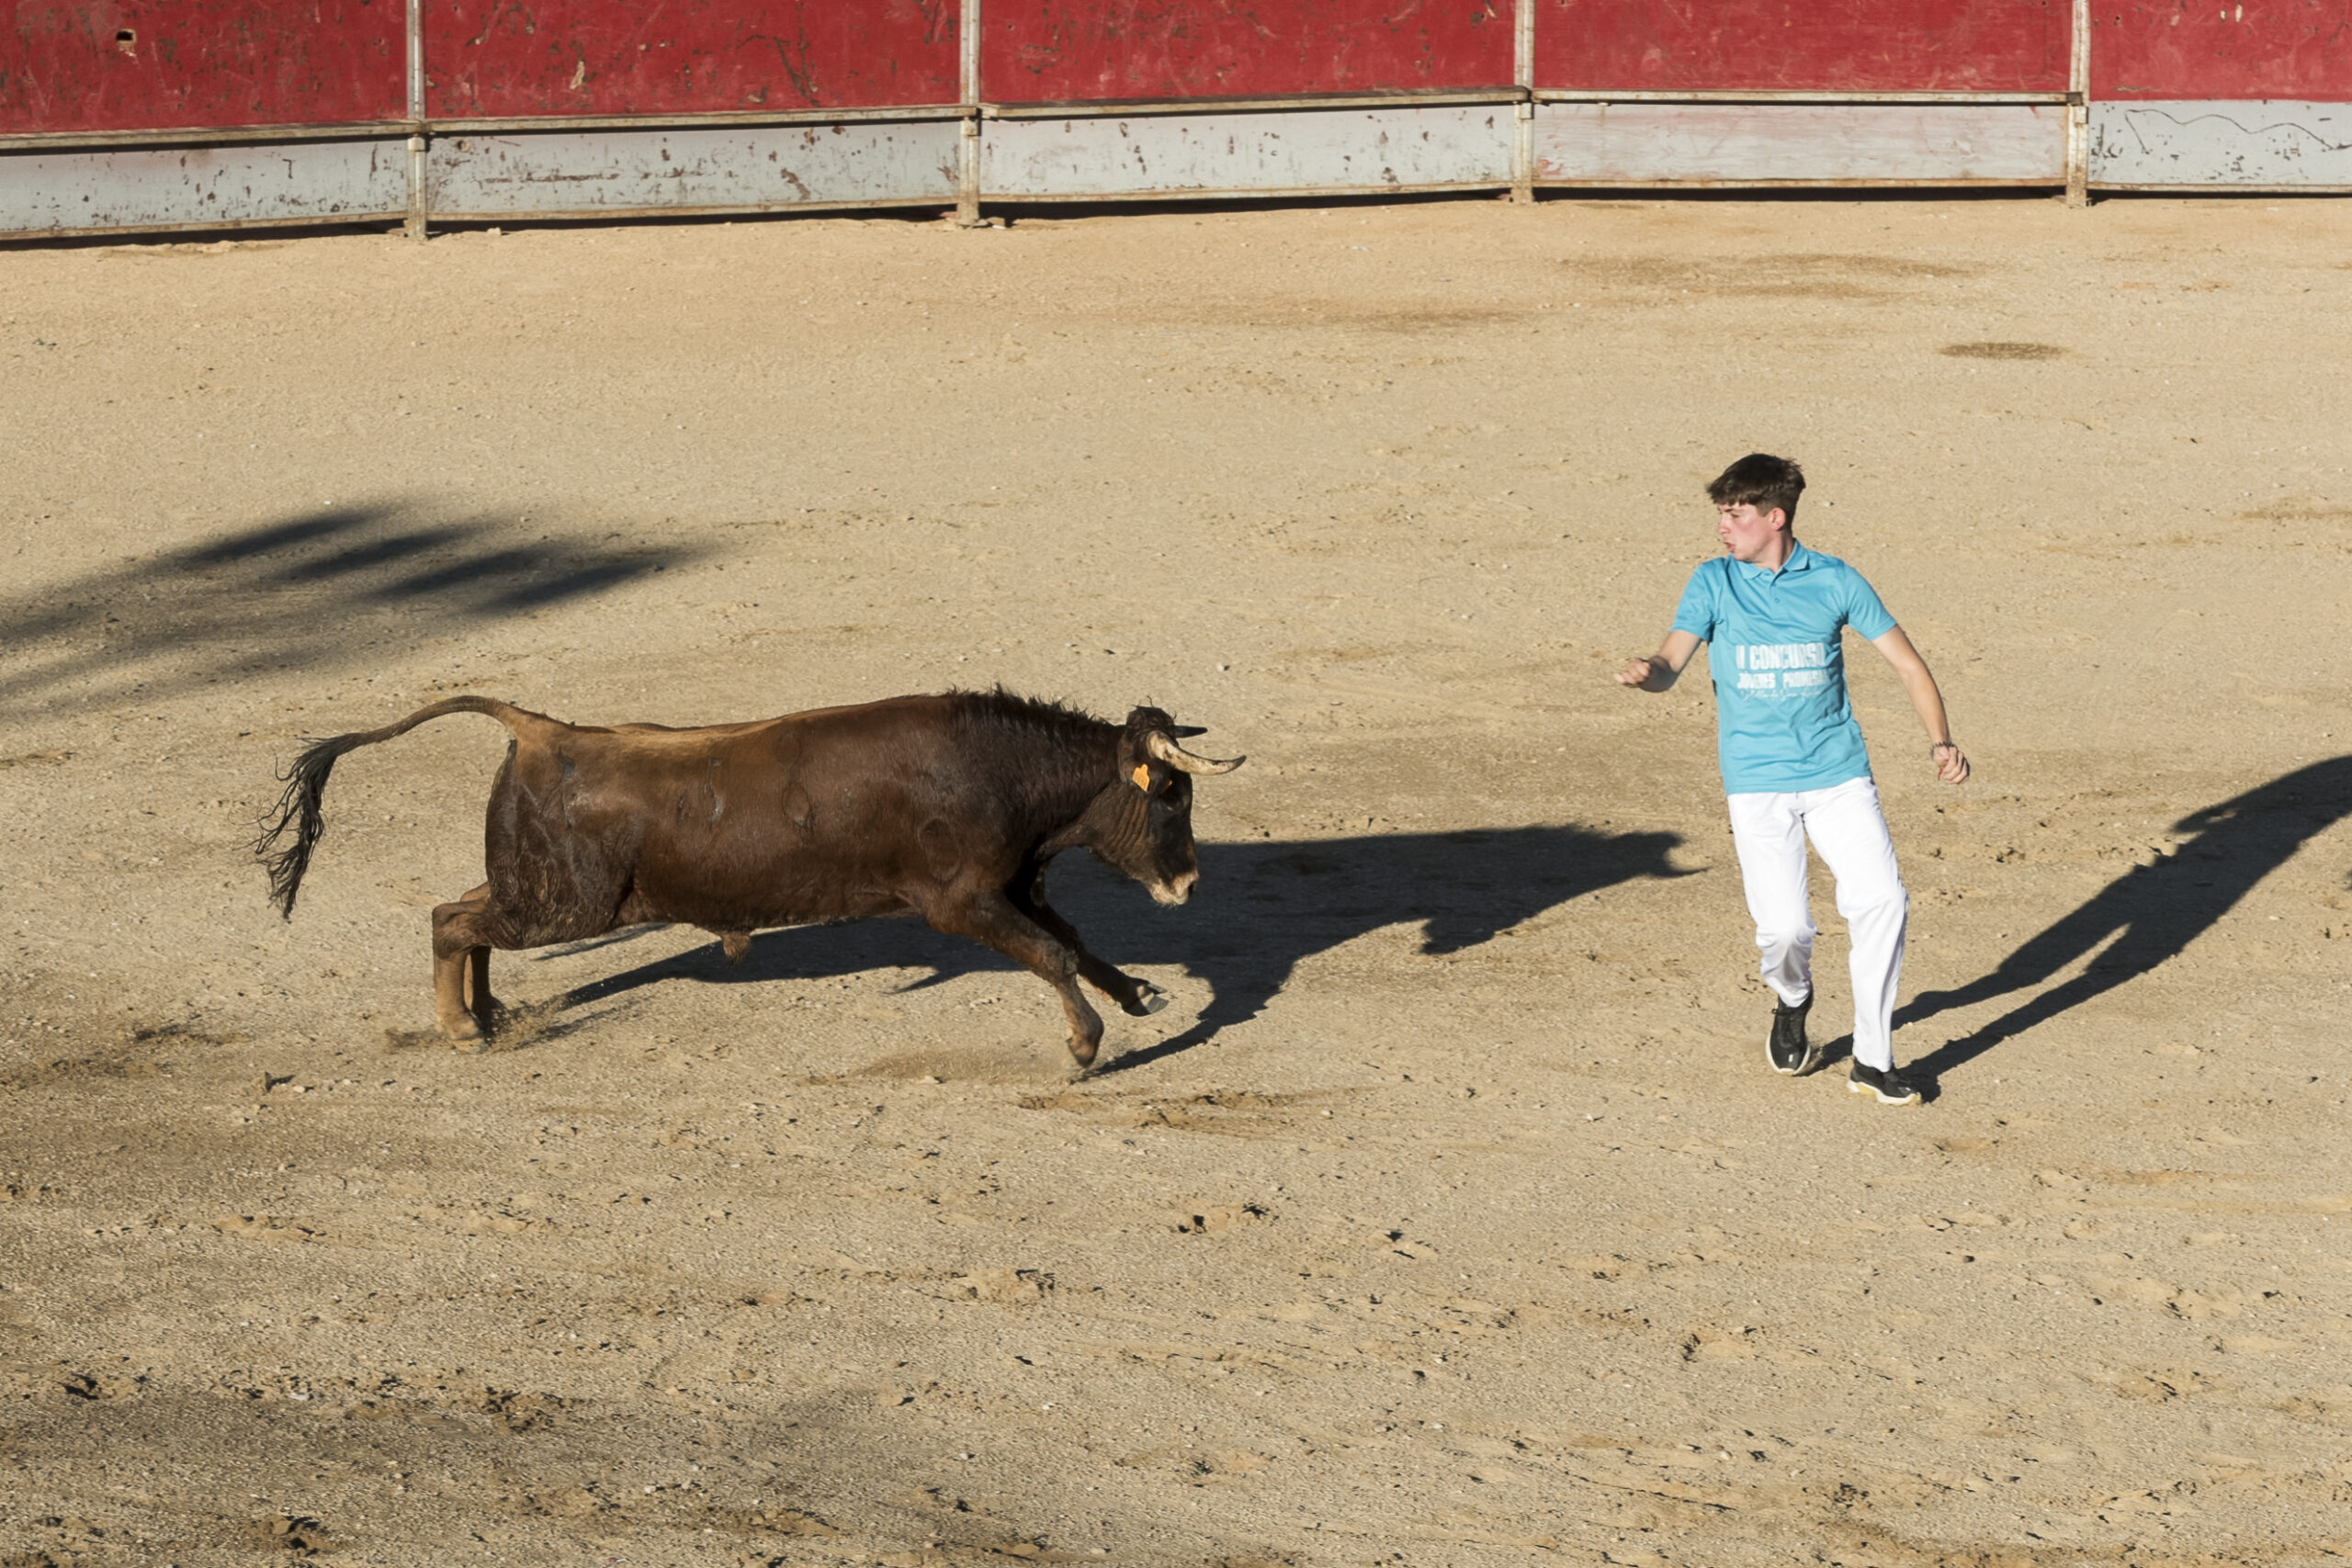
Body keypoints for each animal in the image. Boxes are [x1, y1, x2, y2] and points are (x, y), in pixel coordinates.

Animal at [254, 691, 1241, 1066]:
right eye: (1172, 797)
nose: (1192, 887)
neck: (998, 769)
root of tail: (539, 729)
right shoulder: (962, 903)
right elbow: (1054, 955)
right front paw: (1084, 1045)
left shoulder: (1018, 887)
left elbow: (1074, 941)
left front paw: (1139, 995)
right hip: (563, 904)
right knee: (449, 918)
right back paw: (461, 1027)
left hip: (539, 894)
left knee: (464, 910)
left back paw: (490, 1014)